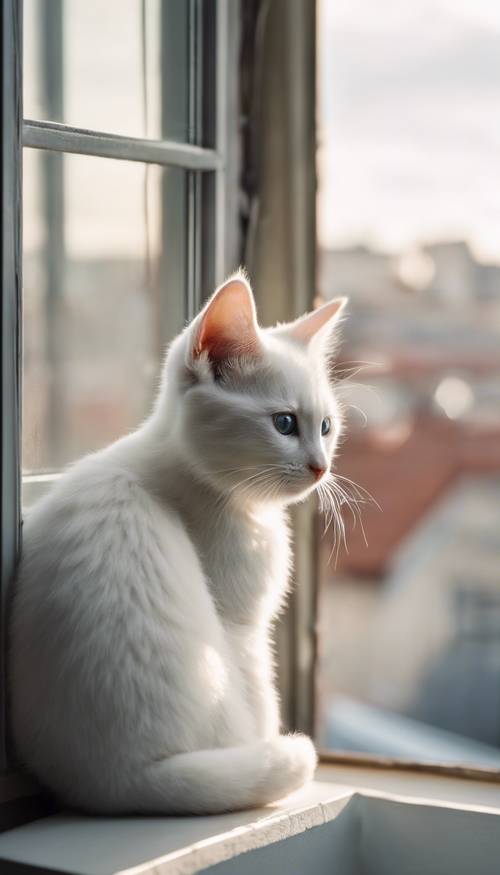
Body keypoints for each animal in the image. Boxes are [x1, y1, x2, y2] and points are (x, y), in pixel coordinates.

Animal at [8, 272, 344, 816]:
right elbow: (263, 696)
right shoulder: (242, 627)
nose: (321, 467)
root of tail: (128, 777)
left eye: (327, 427)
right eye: (285, 423)